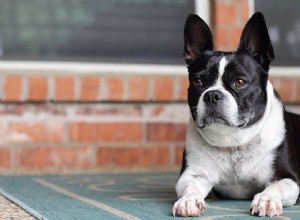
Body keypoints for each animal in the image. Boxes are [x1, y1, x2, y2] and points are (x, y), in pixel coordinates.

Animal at [172, 12, 300, 217]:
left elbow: (275, 187)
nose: (212, 95)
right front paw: (188, 200)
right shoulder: (193, 174)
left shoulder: (288, 178)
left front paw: (266, 199)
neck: (234, 143)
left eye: (240, 82)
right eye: (197, 82)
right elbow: (190, 187)